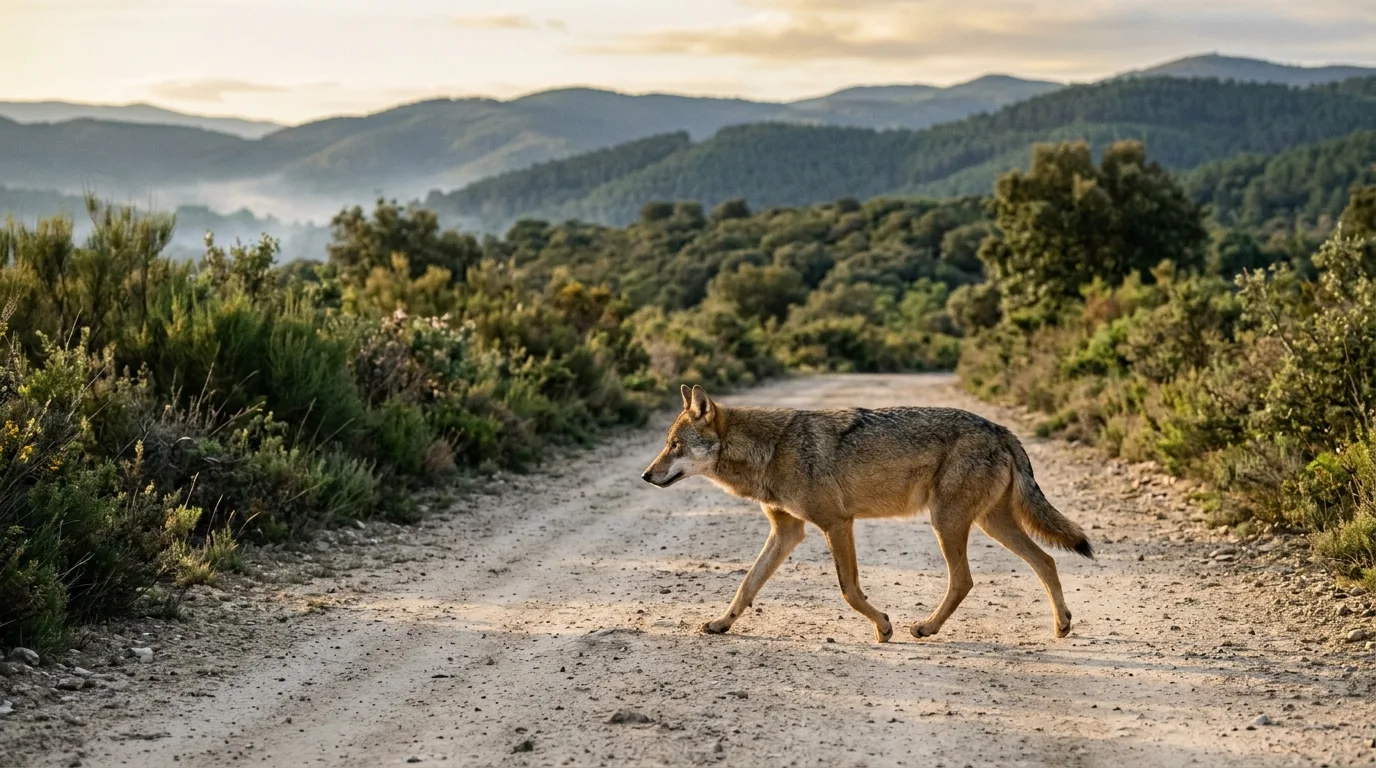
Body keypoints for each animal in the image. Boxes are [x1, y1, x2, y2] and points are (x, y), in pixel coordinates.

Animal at [640, 384, 1094, 643]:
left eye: (675, 445)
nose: (646, 475)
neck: (768, 450)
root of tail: (1001, 429)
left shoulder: (837, 524)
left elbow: (849, 590)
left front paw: (884, 627)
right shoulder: (788, 532)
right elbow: (746, 585)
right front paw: (721, 624)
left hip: (946, 522)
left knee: (965, 580)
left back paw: (925, 628)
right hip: (988, 523)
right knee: (1047, 560)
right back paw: (1061, 626)